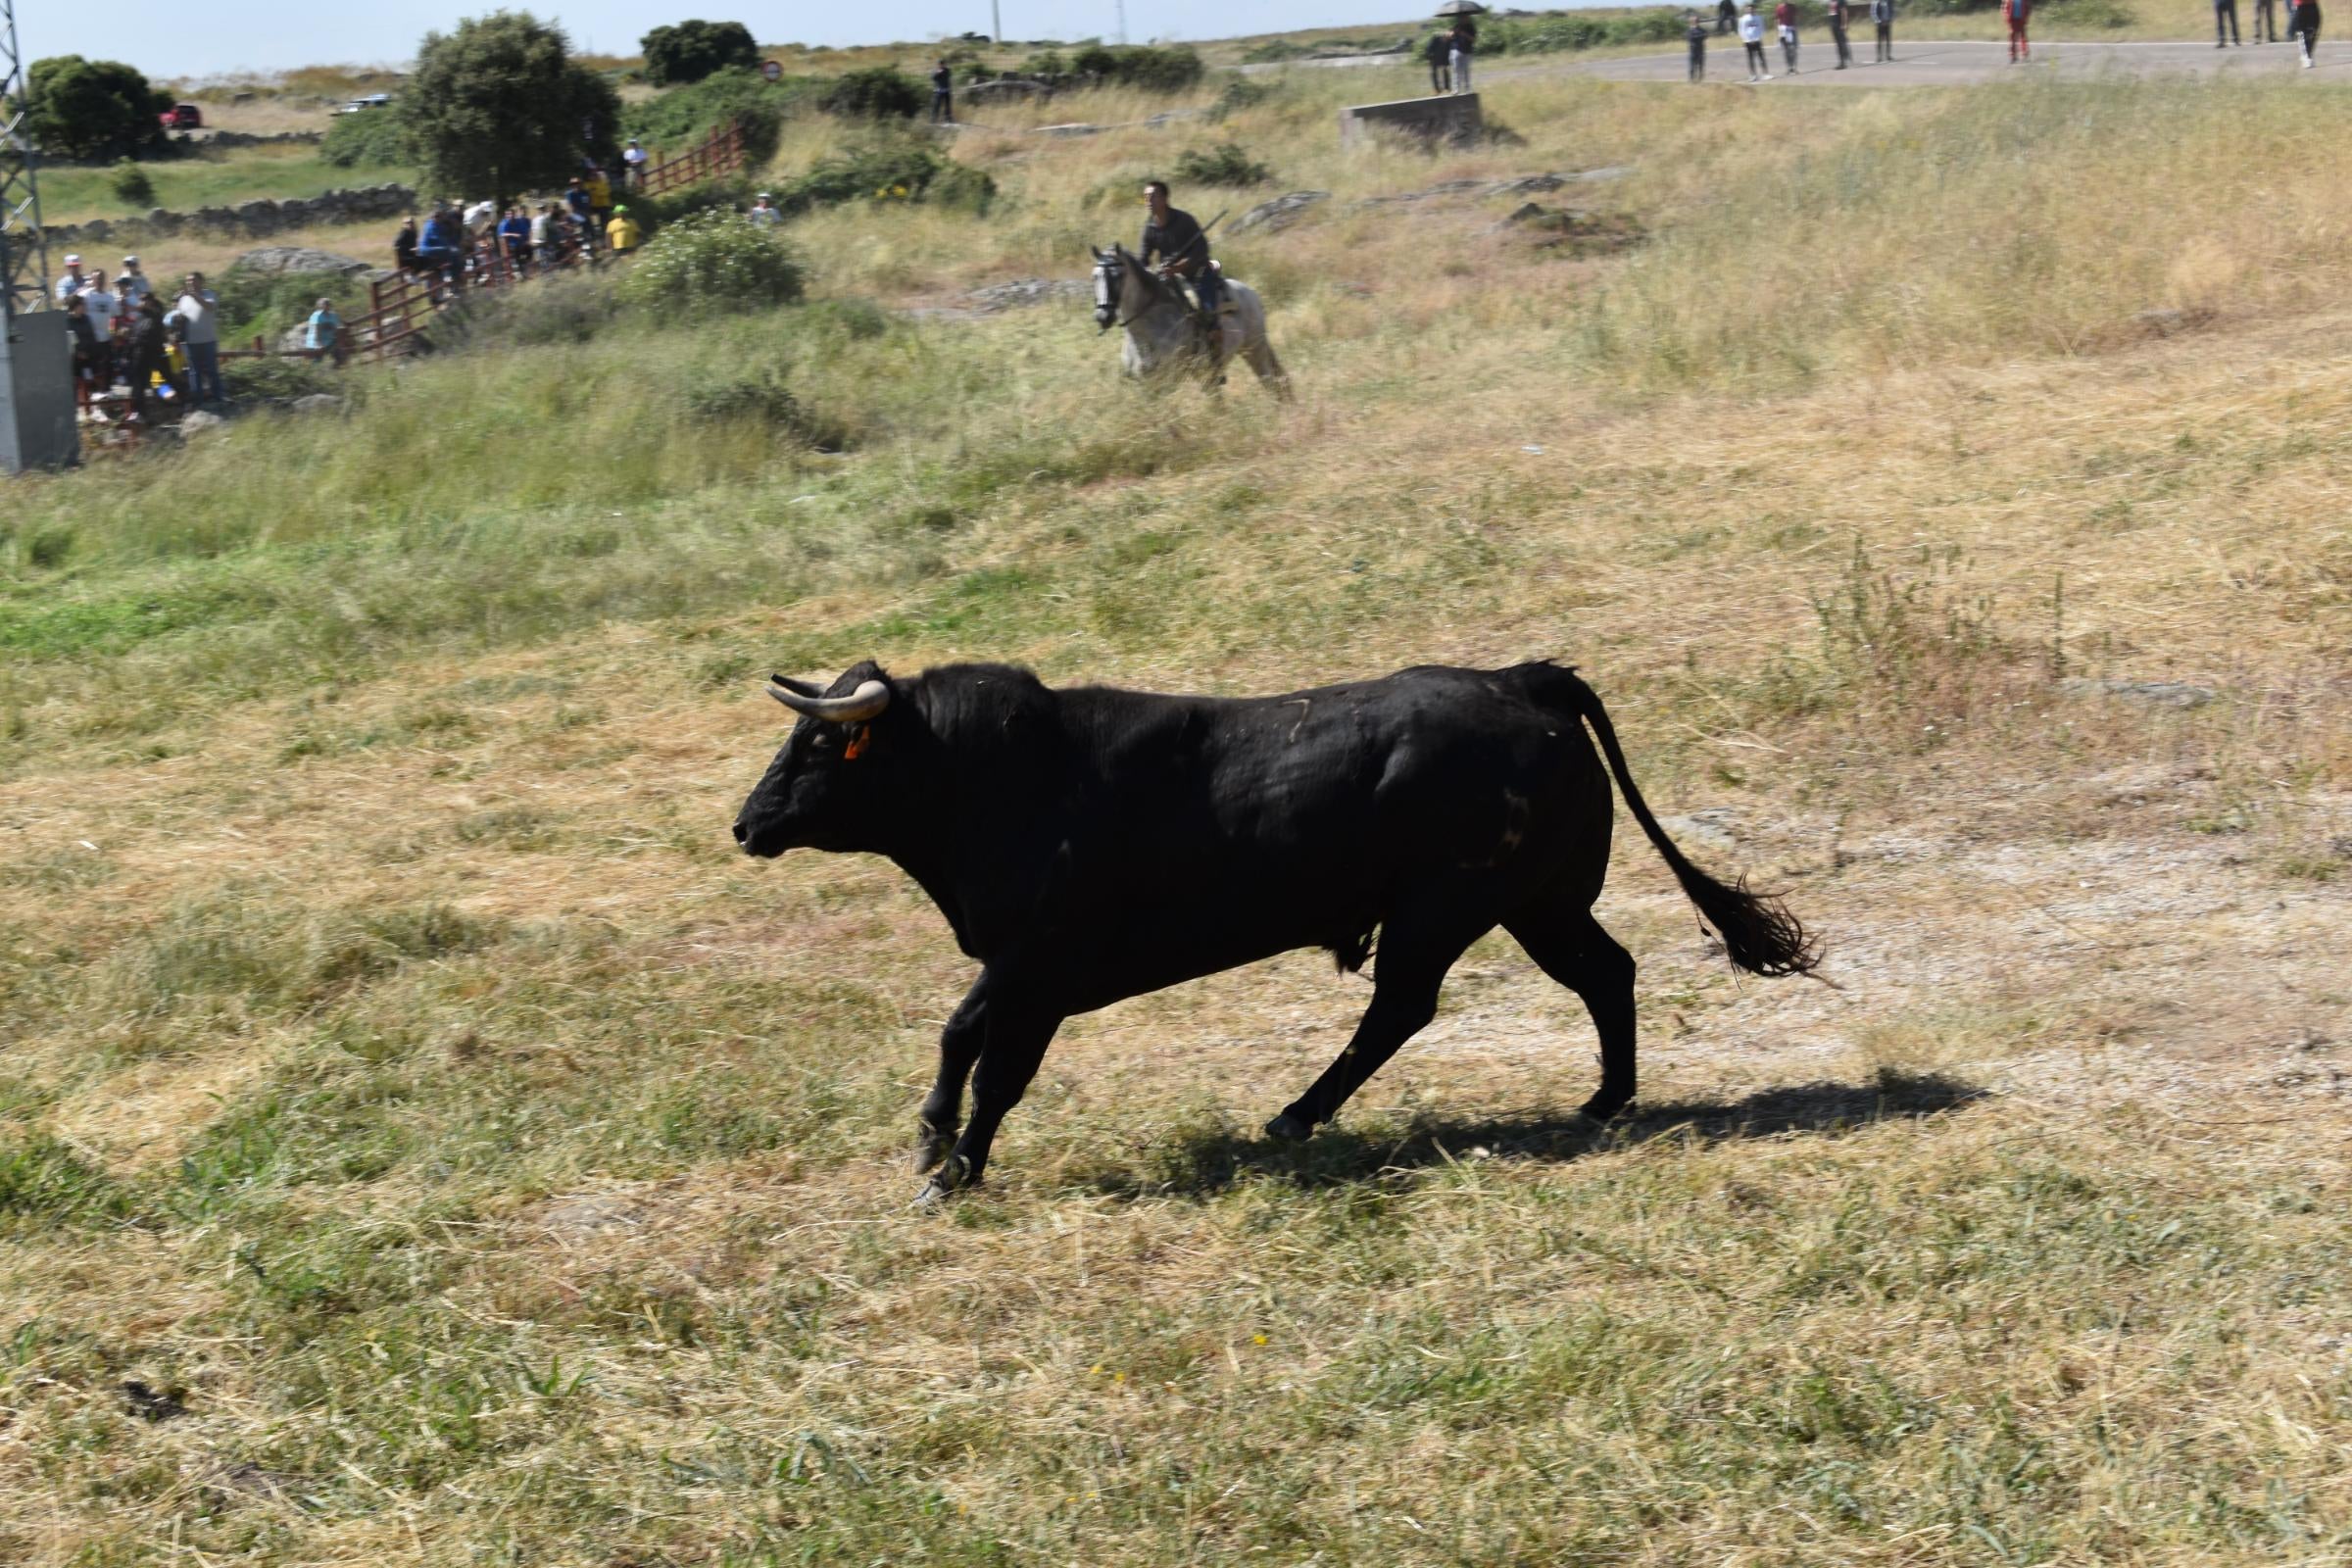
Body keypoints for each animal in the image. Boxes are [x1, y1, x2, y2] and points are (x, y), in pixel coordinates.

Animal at [733, 658, 1815, 1203]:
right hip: (1538, 901)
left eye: (820, 741)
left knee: (1403, 1006)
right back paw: (1605, 1099)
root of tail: (1524, 680)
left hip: (1449, 907)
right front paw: (929, 1144)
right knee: (1604, 972)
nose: (746, 824)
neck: (1000, 778)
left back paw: (1298, 1114)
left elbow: (999, 1067)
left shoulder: (1039, 968)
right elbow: (960, 1033)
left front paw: (956, 1172)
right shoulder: (1014, 965)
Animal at [1091, 243, 1298, 402]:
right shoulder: (1144, 383)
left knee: (1271, 381)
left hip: (1255, 349)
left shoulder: (1167, 380)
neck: (1144, 332)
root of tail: (1251, 293)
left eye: (1117, 275)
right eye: (1094, 276)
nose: (1103, 316)